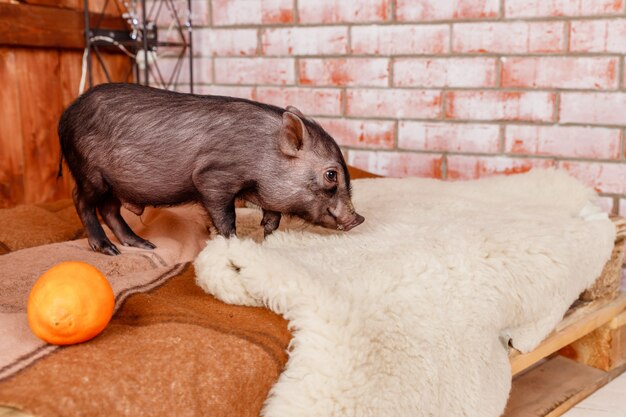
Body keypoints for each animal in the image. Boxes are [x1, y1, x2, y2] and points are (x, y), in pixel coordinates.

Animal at [57, 83, 366, 255]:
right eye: (331, 175)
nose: (359, 219)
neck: (264, 155)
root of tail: (64, 116)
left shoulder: (265, 194)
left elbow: (272, 218)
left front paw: (269, 239)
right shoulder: (213, 178)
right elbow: (226, 218)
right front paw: (233, 243)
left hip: (113, 184)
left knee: (109, 209)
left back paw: (144, 245)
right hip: (90, 174)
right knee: (80, 200)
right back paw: (108, 251)